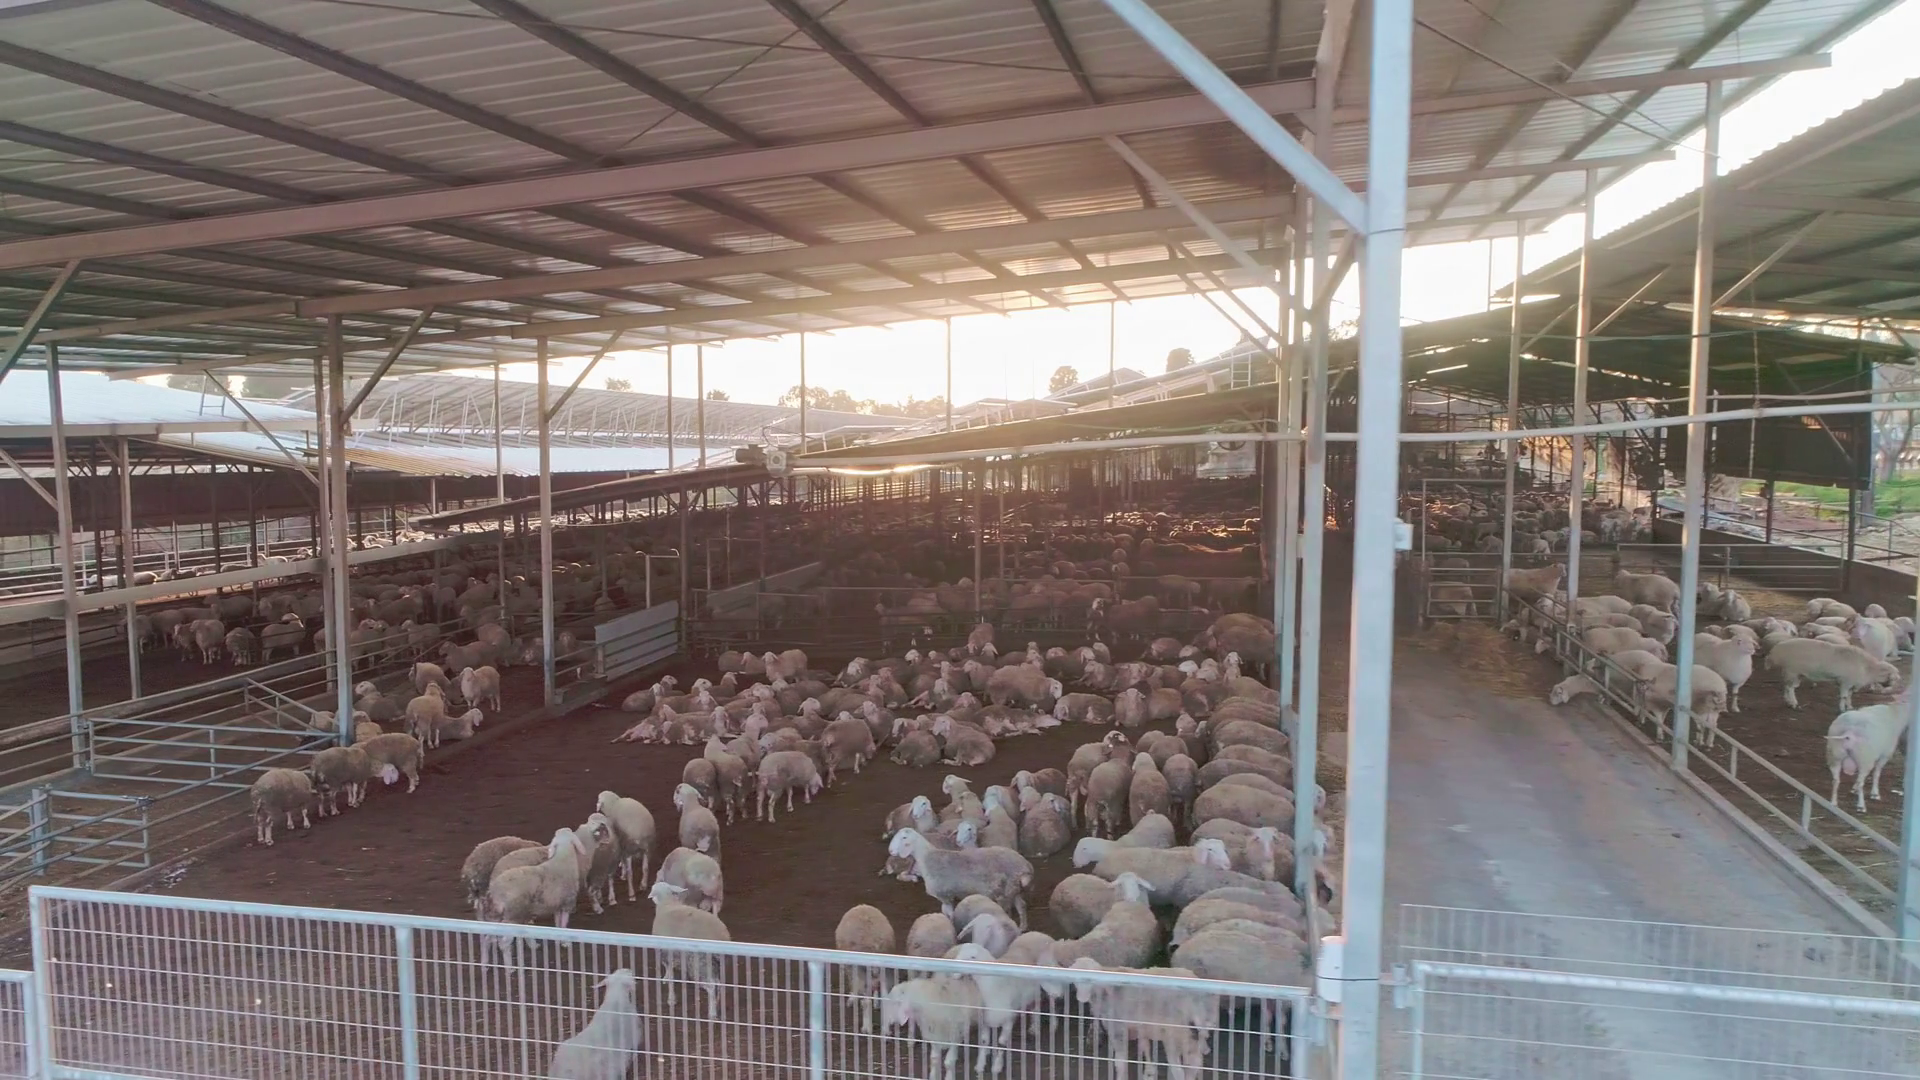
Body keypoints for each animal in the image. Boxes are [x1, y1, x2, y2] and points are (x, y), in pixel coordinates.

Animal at [647, 882, 730, 1019]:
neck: (668, 904)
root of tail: (720, 935)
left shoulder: (665, 954)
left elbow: (671, 976)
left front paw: (671, 999)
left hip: (699, 961)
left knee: (712, 985)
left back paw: (712, 1013)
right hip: (716, 962)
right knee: (719, 983)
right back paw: (717, 1003)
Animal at [887, 828, 1035, 928]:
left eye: (904, 837)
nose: (891, 851)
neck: (927, 858)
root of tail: (1024, 866)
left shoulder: (945, 895)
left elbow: (950, 915)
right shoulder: (947, 896)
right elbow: (946, 913)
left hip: (1003, 892)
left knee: (1008, 911)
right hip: (1014, 889)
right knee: (1022, 905)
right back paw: (1022, 927)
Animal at [1764, 638, 1901, 711]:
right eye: (1894, 676)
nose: (1895, 687)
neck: (1868, 669)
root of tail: (1776, 650)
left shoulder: (1851, 683)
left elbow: (1849, 696)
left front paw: (1849, 707)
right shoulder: (1846, 682)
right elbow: (1844, 696)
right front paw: (1842, 709)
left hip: (1793, 673)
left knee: (1786, 687)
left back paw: (1788, 702)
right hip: (1792, 671)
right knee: (1790, 688)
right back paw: (1794, 703)